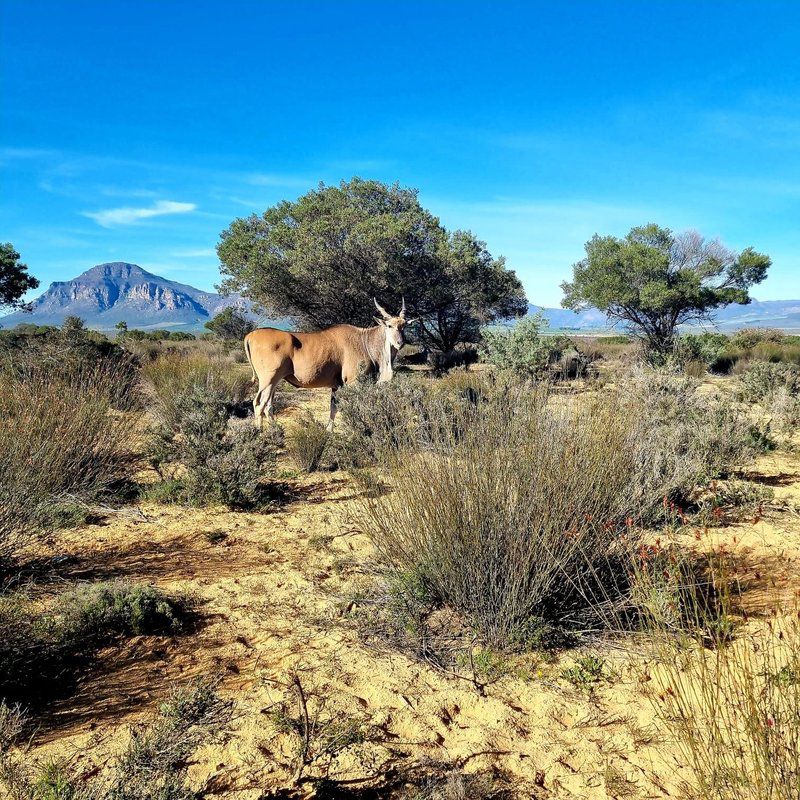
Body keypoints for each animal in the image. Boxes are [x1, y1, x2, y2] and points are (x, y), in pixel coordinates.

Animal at [242, 298, 406, 432]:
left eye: (404, 326)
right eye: (389, 326)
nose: (400, 343)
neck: (364, 340)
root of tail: (250, 335)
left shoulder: (337, 385)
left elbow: (333, 407)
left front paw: (329, 430)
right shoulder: (353, 382)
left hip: (274, 382)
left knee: (268, 405)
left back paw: (276, 430)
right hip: (268, 380)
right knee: (259, 404)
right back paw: (261, 433)